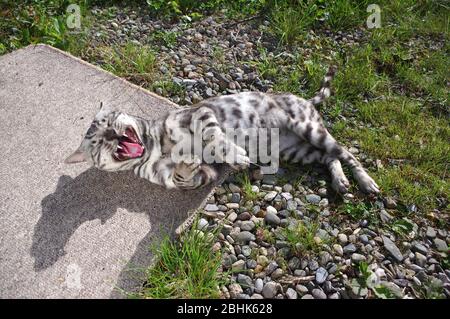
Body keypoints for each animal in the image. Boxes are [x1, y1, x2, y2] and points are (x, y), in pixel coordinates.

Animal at [64, 66, 380, 194]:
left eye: (108, 122)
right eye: (96, 142)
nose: (111, 135)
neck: (154, 147)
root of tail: (305, 99)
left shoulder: (201, 114)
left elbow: (214, 138)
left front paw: (237, 154)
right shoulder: (202, 175)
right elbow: (183, 175)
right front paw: (186, 162)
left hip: (307, 127)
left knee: (347, 154)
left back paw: (366, 182)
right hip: (297, 151)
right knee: (329, 158)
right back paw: (340, 182)